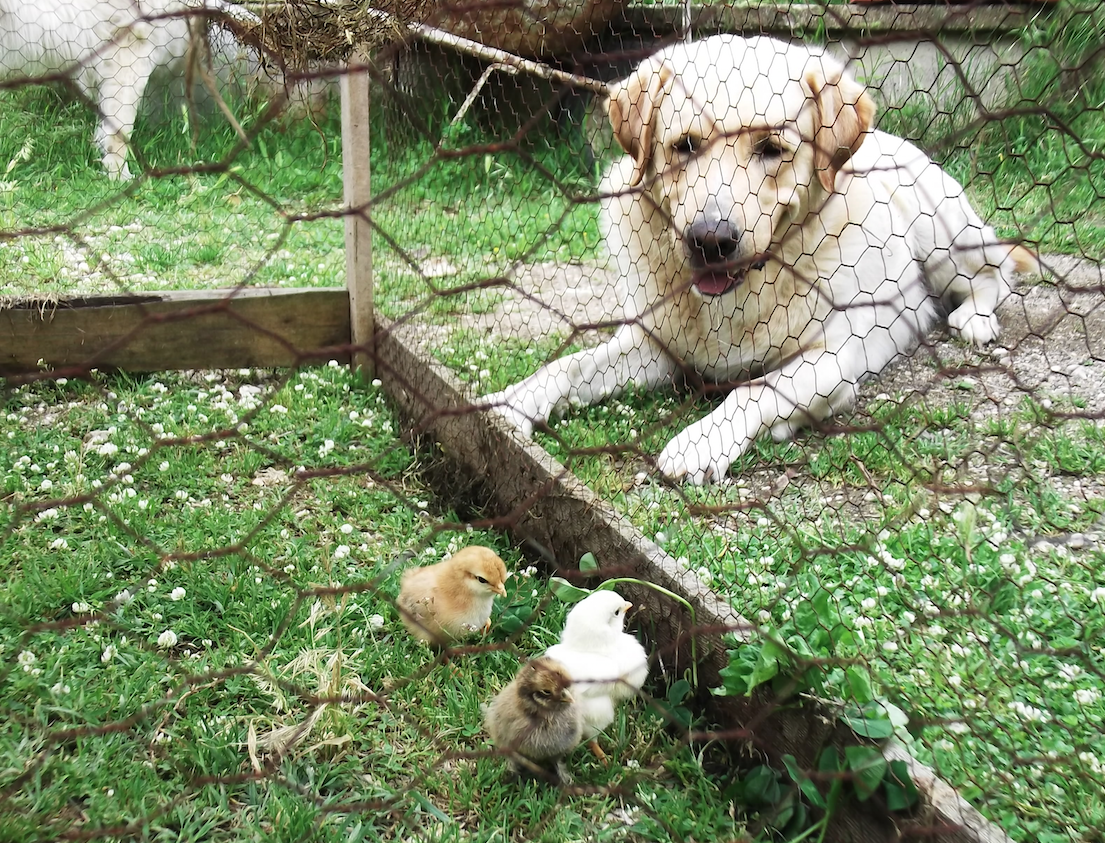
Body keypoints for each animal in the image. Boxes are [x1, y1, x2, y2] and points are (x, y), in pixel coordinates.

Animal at [483, 35, 1034, 484]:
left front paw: (698, 443)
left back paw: (976, 318)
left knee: (997, 274)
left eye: (771, 148)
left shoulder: (833, 358)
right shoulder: (656, 344)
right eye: (685, 146)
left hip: (941, 234)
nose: (710, 239)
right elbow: (571, 366)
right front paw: (511, 401)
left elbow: (754, 389)